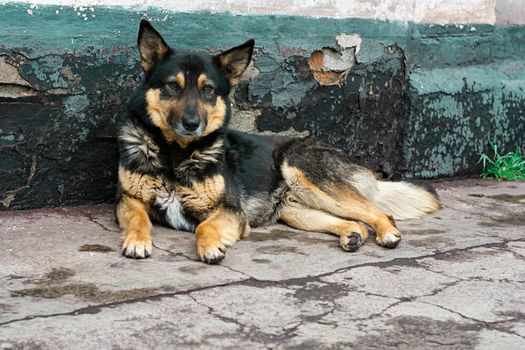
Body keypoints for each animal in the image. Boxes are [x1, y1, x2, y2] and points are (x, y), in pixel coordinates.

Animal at [116, 19, 440, 264]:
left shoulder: (230, 212)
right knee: (355, 220)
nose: (192, 124)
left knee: (379, 212)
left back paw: (387, 233)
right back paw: (352, 234)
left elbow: (204, 228)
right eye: (173, 86)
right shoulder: (128, 200)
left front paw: (210, 247)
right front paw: (137, 241)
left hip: (307, 175)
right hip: (296, 211)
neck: (175, 153)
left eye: (207, 90)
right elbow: (139, 219)